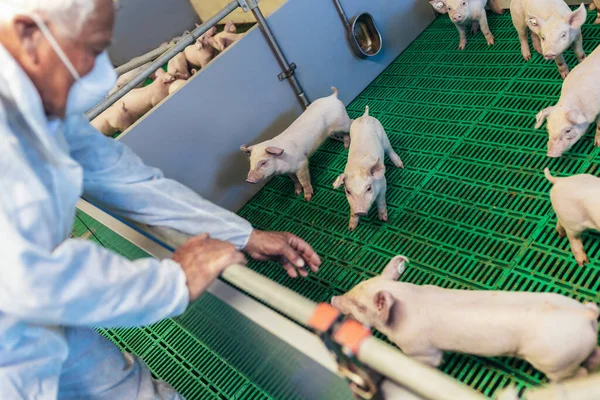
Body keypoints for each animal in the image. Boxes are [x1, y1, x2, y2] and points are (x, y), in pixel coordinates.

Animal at [330, 256, 600, 382]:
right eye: (358, 285)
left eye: (360, 306)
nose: (334, 298)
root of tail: (585, 314)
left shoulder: (419, 349)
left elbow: (429, 362)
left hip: (554, 361)